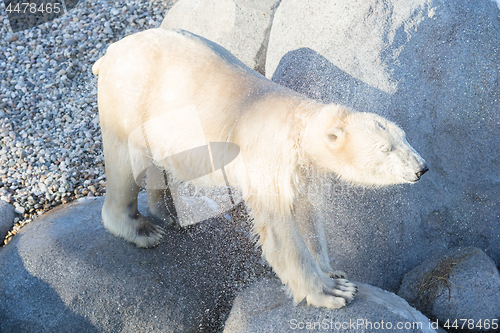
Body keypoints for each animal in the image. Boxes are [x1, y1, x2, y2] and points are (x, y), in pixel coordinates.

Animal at [93, 27, 426, 308]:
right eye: (385, 149)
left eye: (404, 137)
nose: (422, 168)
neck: (298, 125)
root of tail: (110, 52)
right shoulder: (270, 160)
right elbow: (279, 230)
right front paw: (333, 292)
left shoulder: (302, 171)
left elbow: (308, 213)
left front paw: (332, 272)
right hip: (128, 100)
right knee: (124, 165)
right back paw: (142, 229)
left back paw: (168, 213)